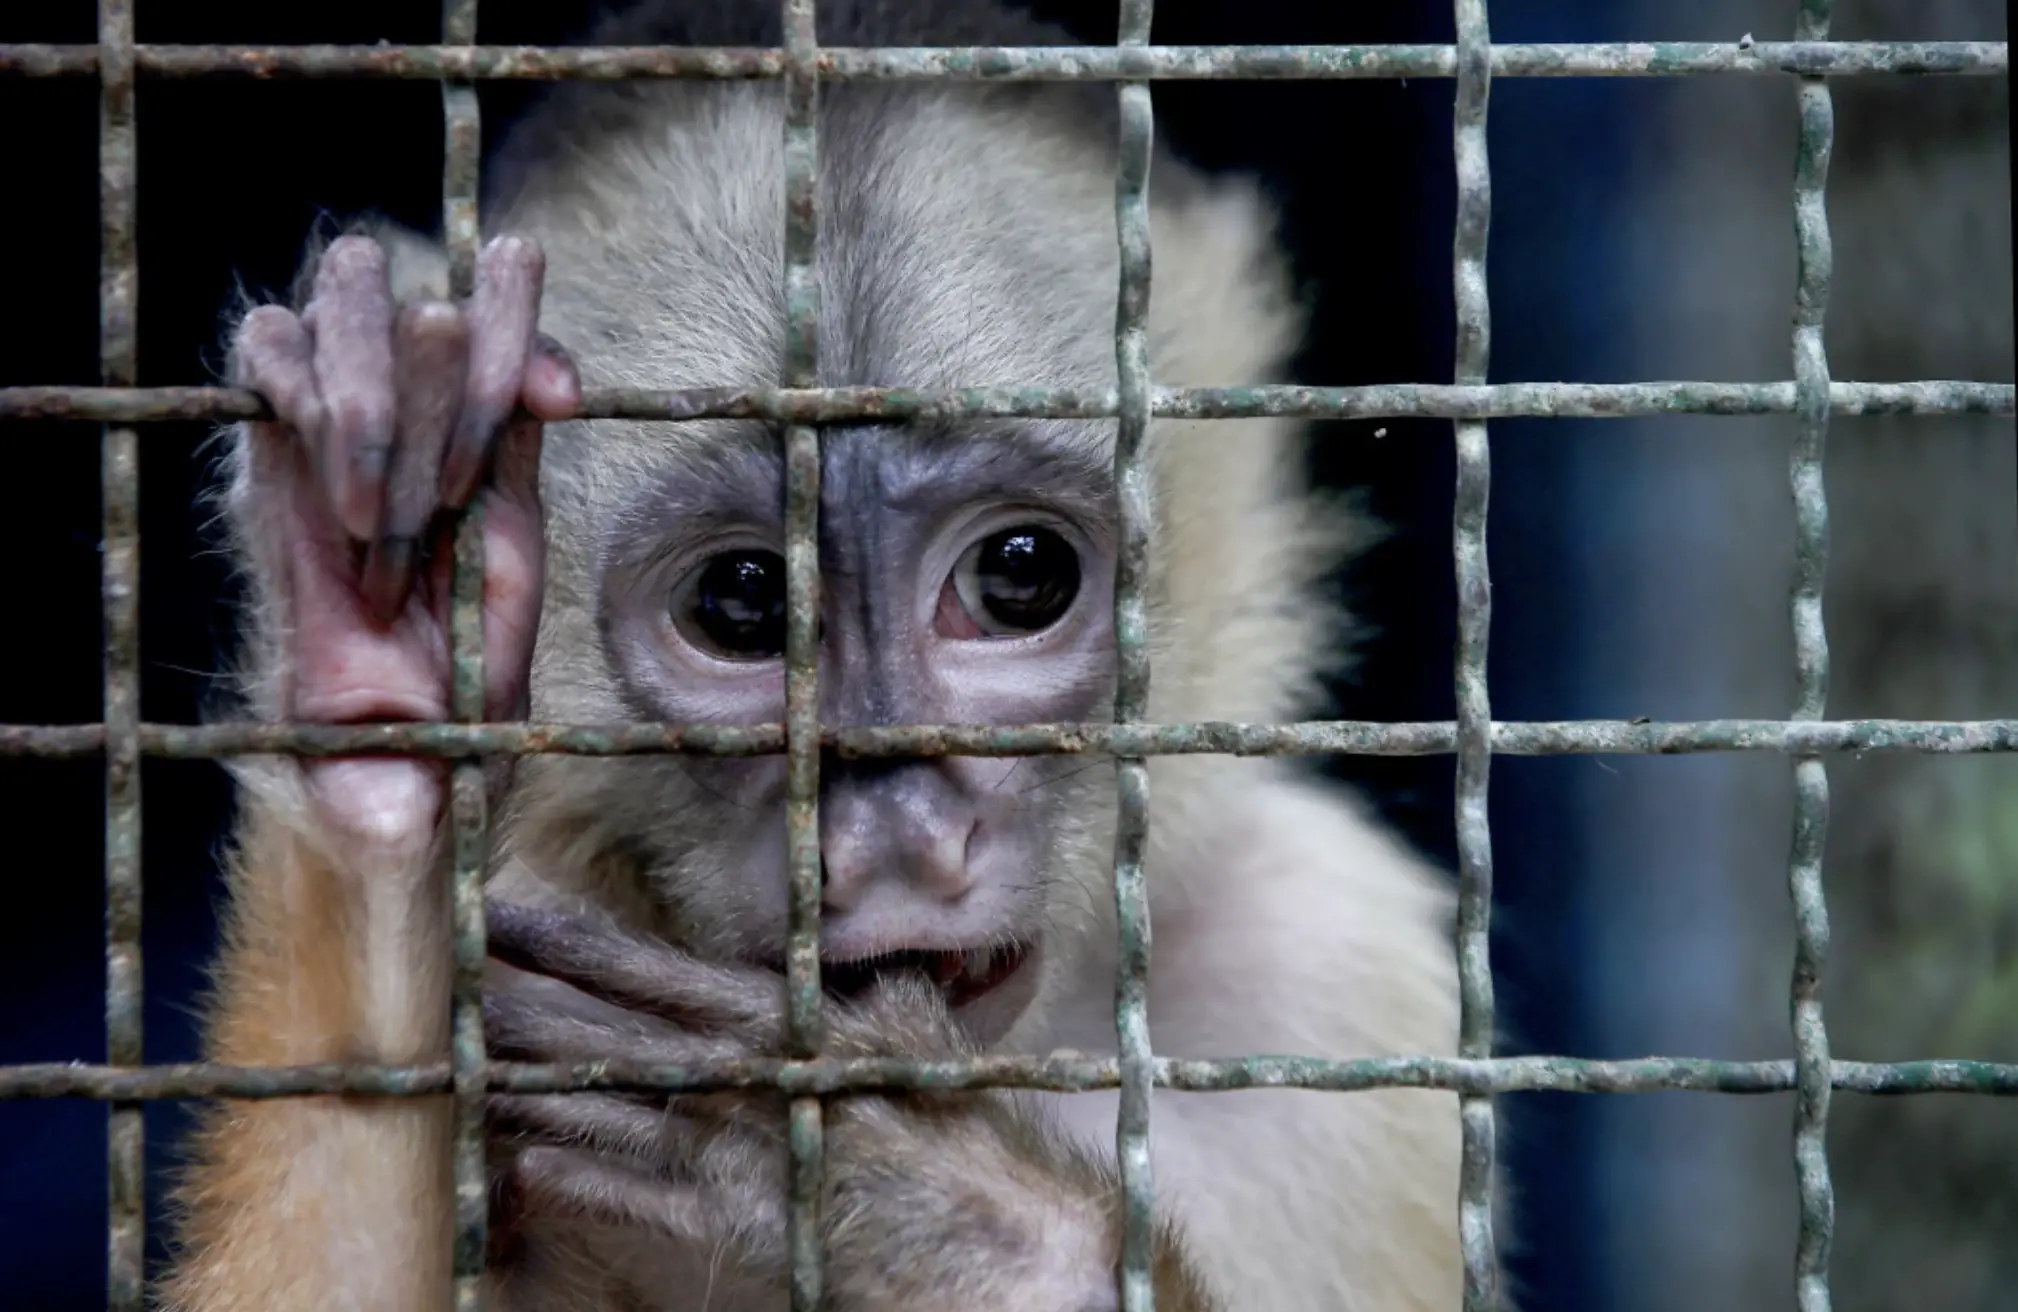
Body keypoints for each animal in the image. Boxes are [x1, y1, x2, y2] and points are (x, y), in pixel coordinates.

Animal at [157, 0, 1469, 1299]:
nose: (895, 836)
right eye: (742, 601)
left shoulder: (1320, 964)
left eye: (1018, 575)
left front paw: (927, 1197)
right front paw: (385, 690)